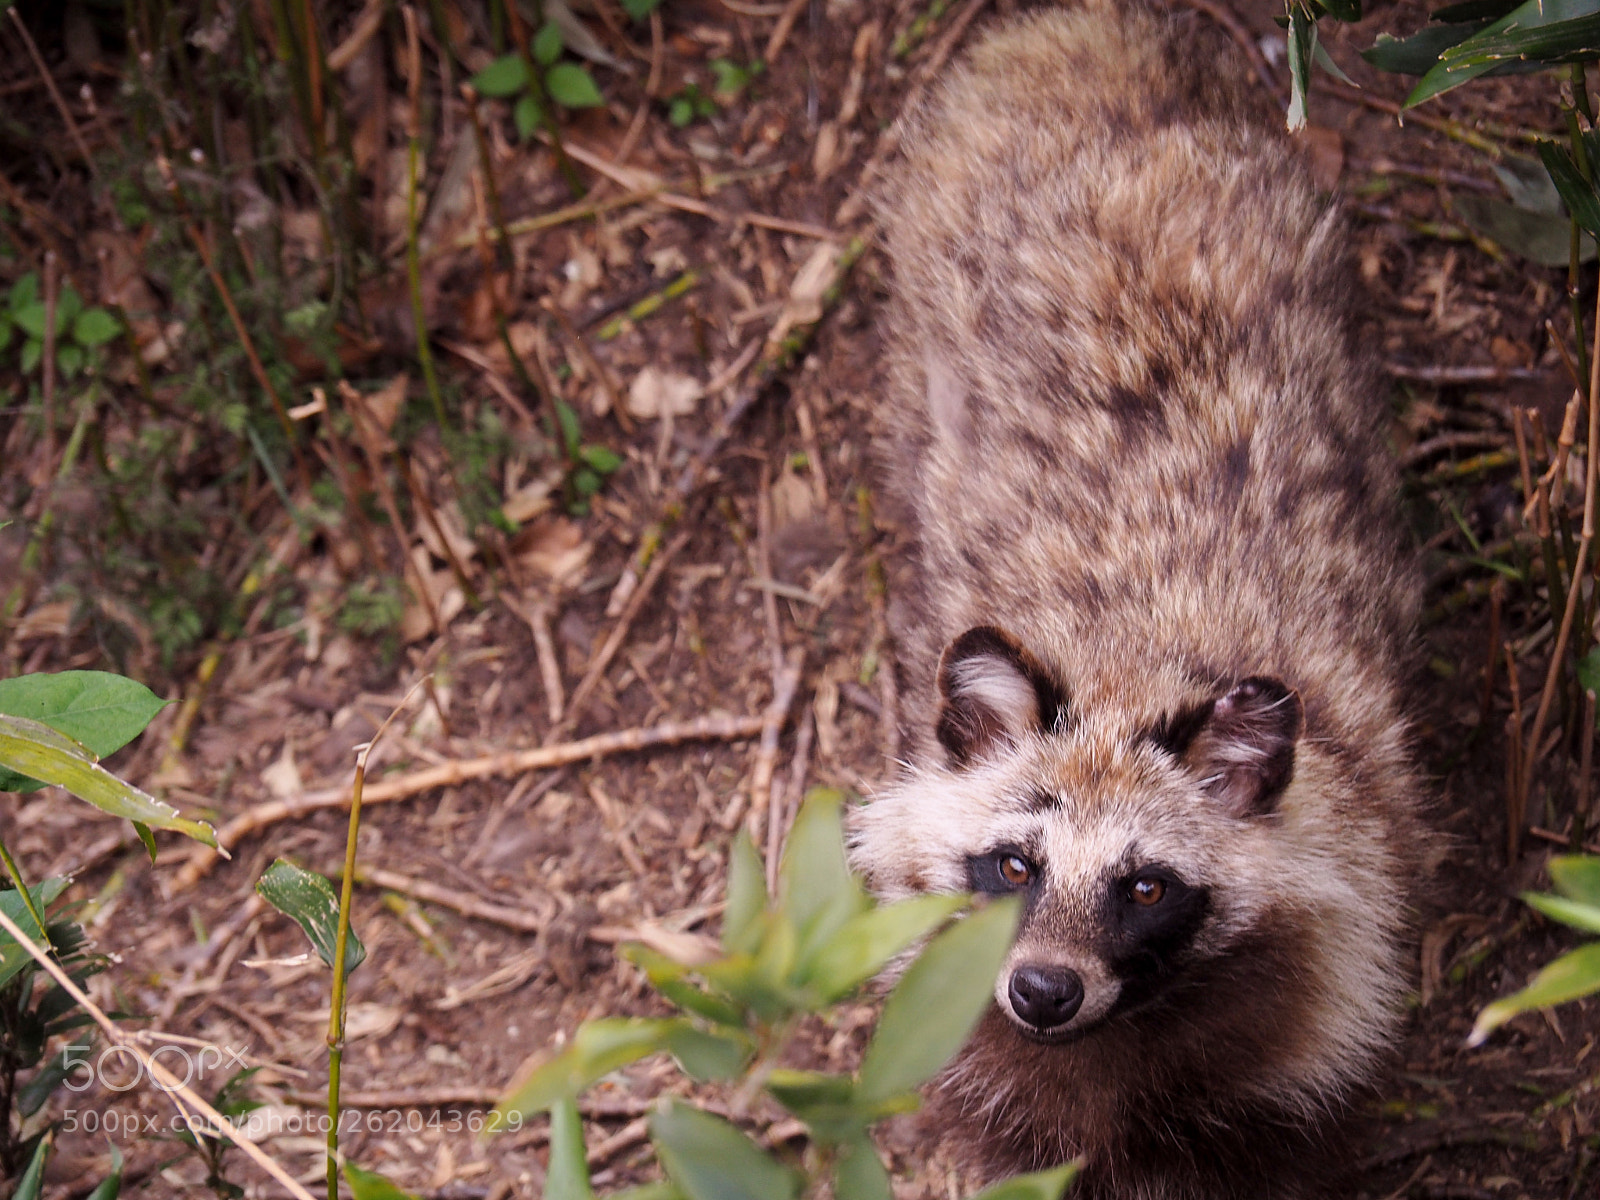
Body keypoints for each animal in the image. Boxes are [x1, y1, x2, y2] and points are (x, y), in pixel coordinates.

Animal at [850, 4, 1425, 1198]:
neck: (1130, 664)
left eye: (1146, 887)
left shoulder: (1297, 1046)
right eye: (1013, 864)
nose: (1041, 992)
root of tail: (1093, 39)